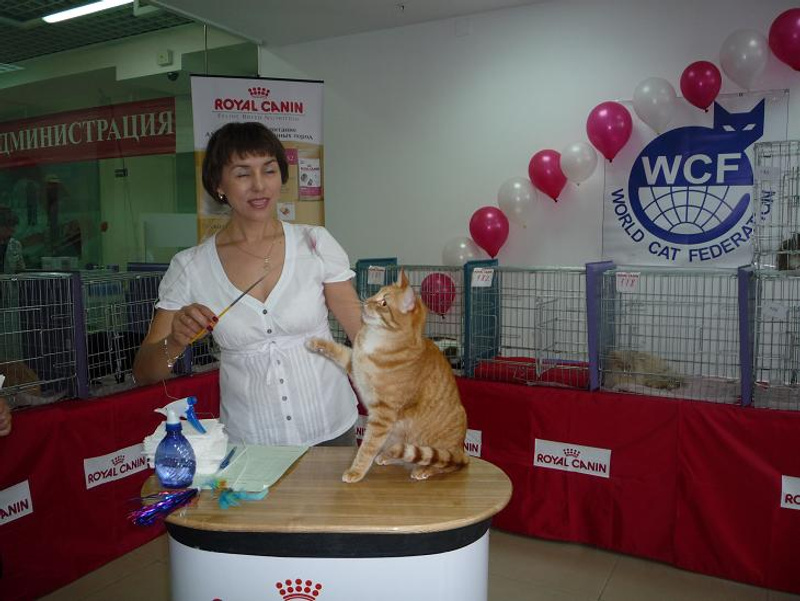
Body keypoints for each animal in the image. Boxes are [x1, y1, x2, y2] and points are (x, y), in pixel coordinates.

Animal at [307, 270, 469, 483]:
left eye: (383, 303)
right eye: (377, 293)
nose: (366, 301)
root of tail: (461, 451)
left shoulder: (383, 414)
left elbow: (367, 447)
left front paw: (356, 471)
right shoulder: (355, 365)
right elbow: (339, 350)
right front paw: (316, 343)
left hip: (437, 447)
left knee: (445, 464)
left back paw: (423, 469)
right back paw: (388, 455)